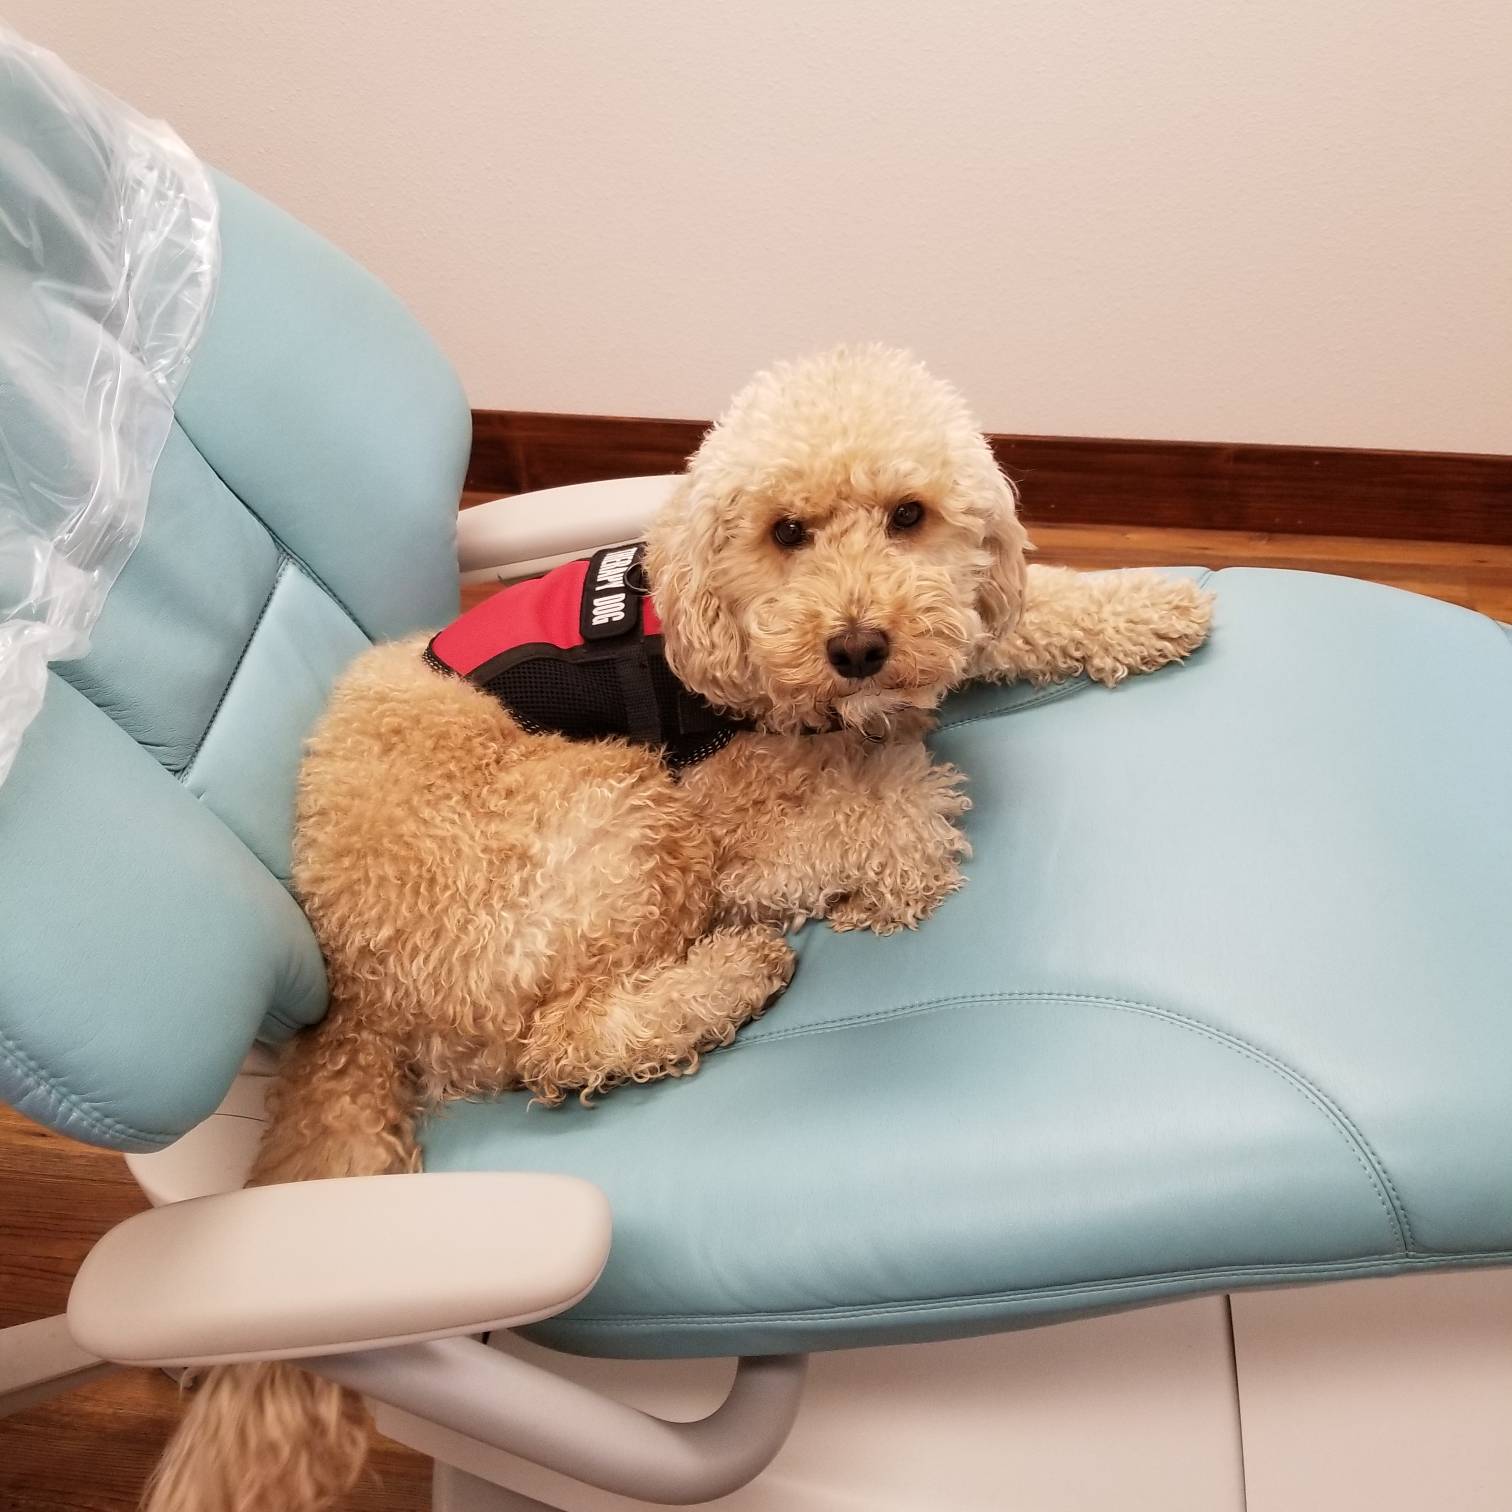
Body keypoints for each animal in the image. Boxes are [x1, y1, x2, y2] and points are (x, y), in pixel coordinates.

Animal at [150, 346, 1215, 1512]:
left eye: (910, 515)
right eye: (787, 532)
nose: (858, 647)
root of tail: (350, 999)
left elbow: (1020, 613)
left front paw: (1148, 603)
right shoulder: (719, 789)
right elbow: (863, 818)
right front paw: (898, 834)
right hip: (617, 808)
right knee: (564, 1041)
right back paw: (735, 971)